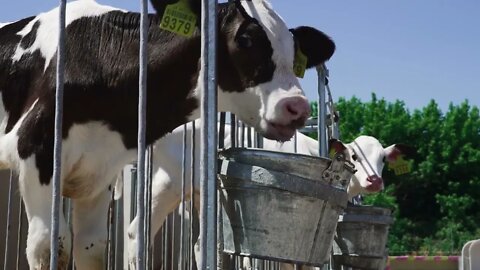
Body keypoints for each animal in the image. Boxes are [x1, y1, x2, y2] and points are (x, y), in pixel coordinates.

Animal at [0, 0, 334, 270]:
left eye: (295, 52)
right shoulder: (35, 149)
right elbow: (49, 247)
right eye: (245, 39)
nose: (297, 106)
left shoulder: (99, 171)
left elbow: (91, 248)